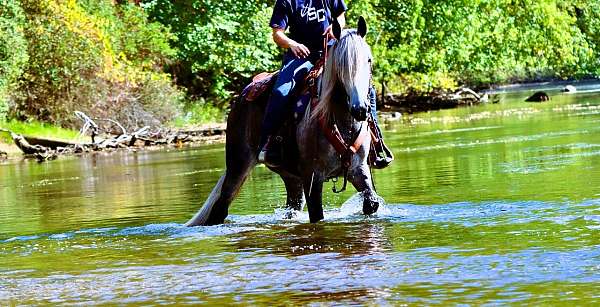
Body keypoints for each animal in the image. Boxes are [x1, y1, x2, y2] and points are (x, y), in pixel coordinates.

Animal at [185, 17, 382, 229]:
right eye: (341, 64)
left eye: (368, 60)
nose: (360, 109)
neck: (340, 121)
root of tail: (240, 99)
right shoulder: (312, 177)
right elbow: (317, 216)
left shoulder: (358, 169)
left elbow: (371, 203)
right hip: (238, 166)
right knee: (219, 209)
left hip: (291, 178)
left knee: (292, 207)